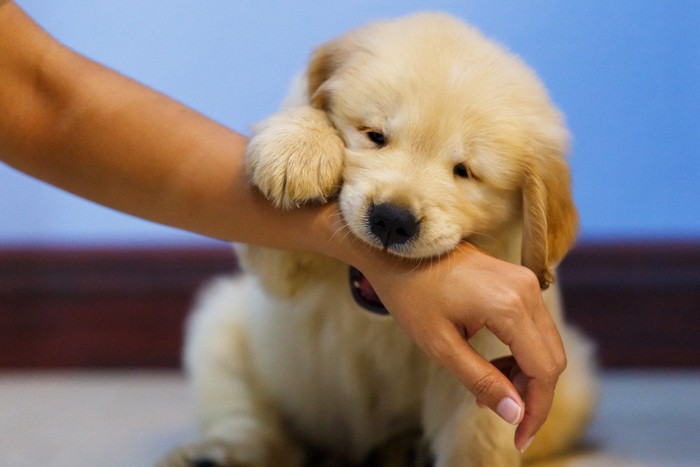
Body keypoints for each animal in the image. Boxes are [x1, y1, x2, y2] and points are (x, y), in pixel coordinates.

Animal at [163, 11, 596, 467]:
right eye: (375, 135)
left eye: (465, 171)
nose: (392, 220)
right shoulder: (275, 265)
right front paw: (298, 148)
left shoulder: (493, 358)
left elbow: (474, 443)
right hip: (220, 325)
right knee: (252, 422)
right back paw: (220, 452)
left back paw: (403, 448)